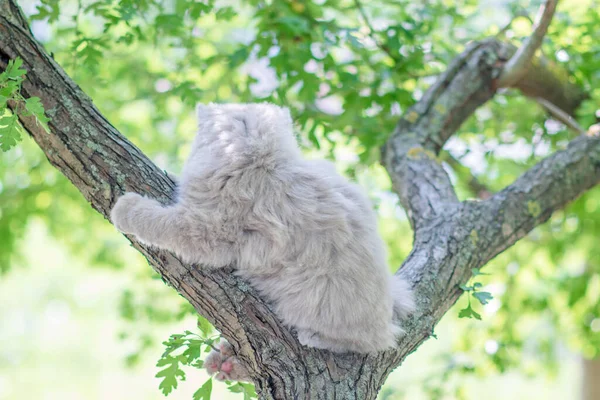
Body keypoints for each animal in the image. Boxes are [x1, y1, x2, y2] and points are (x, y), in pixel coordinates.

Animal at [110, 102, 414, 372]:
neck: (257, 160)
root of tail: (389, 304)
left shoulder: (205, 227)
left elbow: (156, 220)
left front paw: (124, 208)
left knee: (364, 343)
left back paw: (309, 339)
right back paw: (225, 363)